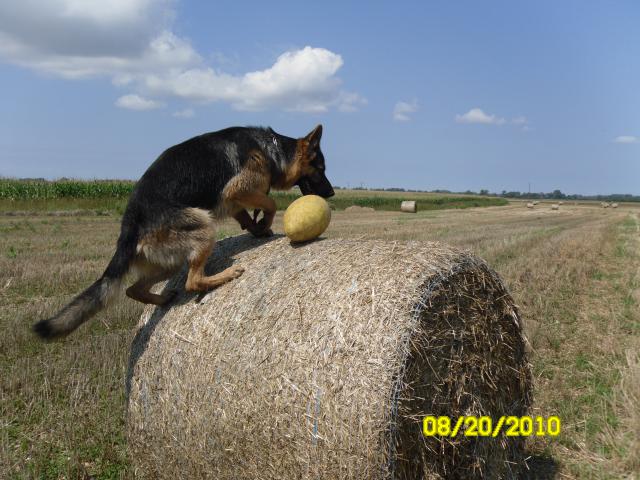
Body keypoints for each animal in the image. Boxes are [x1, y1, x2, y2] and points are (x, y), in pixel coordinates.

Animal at [33, 125, 336, 340]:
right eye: (320, 168)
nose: (332, 193)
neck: (272, 148)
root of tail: (130, 224)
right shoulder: (237, 188)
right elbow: (270, 202)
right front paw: (264, 223)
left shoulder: (232, 200)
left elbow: (245, 212)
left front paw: (256, 227)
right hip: (204, 227)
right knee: (193, 282)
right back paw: (225, 275)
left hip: (169, 261)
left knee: (134, 289)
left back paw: (164, 298)